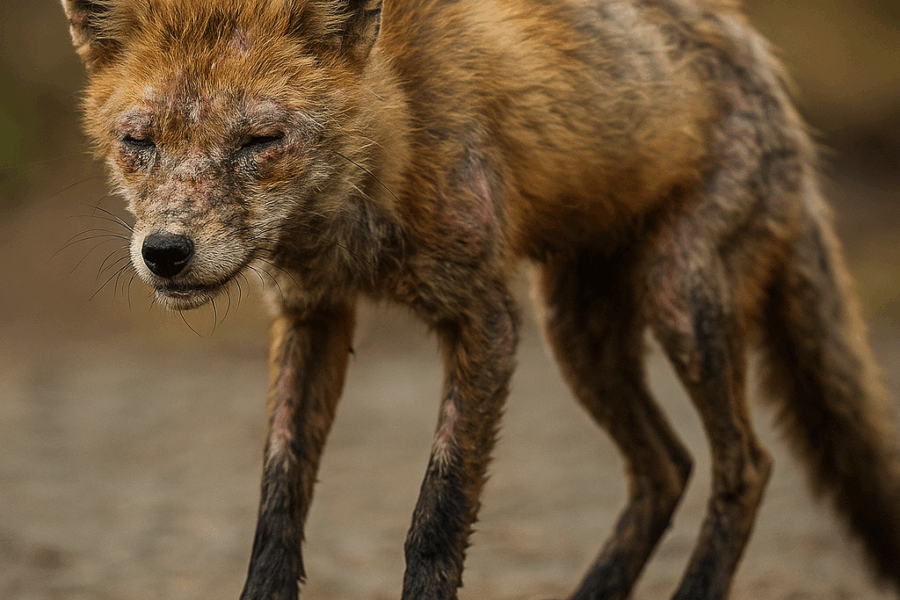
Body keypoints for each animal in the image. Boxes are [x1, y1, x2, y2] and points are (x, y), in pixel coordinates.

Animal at [60, 0, 900, 598]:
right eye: (139, 143)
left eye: (260, 141)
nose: (166, 253)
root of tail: (759, 54)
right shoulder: (313, 314)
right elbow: (278, 504)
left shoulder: (484, 316)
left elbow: (439, 513)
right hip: (576, 334)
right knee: (667, 467)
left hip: (676, 301)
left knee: (744, 467)